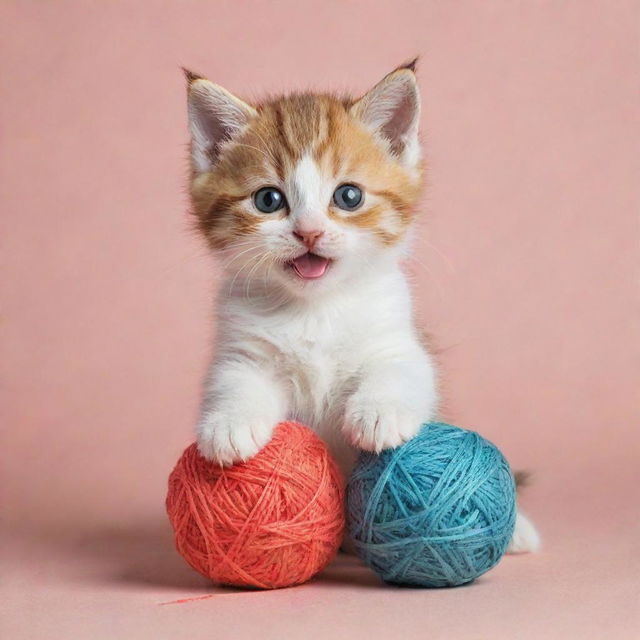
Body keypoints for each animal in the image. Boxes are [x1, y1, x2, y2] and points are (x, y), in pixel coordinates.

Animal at [185, 65, 540, 556]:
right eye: (268, 200)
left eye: (348, 196)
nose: (309, 232)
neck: (314, 309)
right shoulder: (241, 348)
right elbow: (233, 381)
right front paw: (229, 424)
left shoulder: (397, 338)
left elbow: (403, 371)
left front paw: (379, 412)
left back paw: (517, 531)